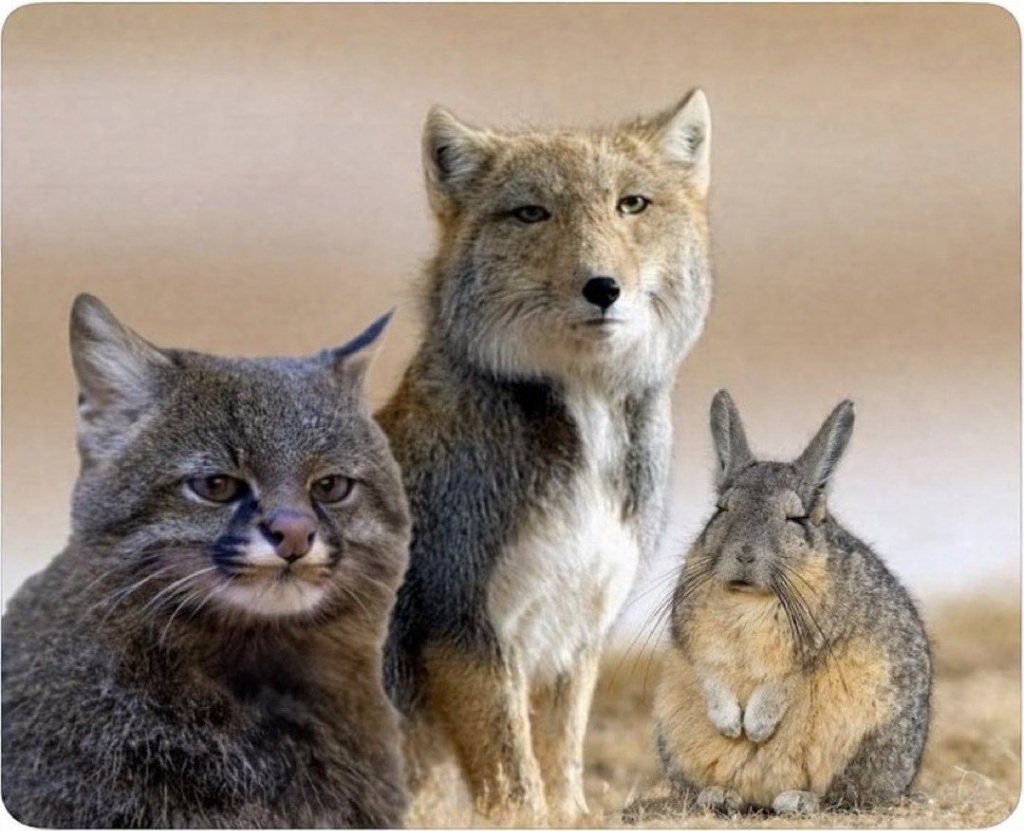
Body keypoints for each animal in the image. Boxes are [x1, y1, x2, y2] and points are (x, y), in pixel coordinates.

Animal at [378, 90, 713, 822]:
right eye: (532, 212)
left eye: (631, 204)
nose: (602, 286)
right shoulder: (467, 626)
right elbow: (513, 774)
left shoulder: (577, 629)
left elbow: (560, 759)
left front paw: (571, 813)